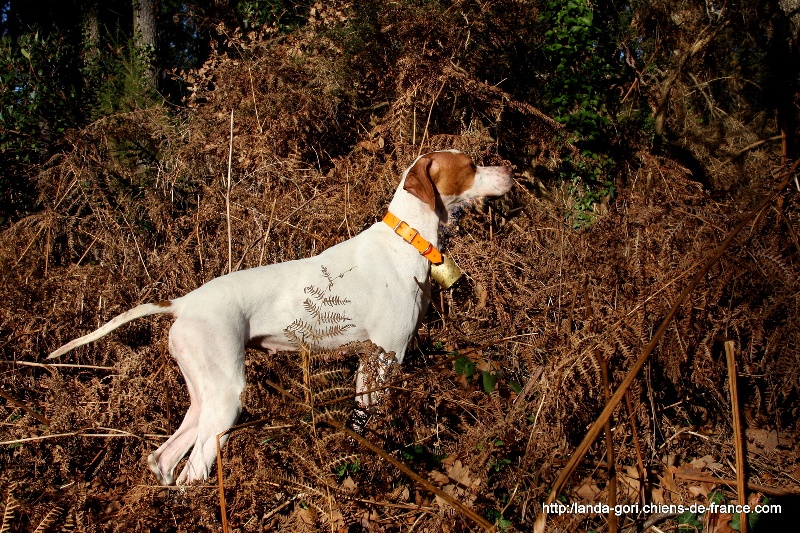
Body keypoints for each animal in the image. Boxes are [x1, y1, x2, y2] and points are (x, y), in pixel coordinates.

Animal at [48, 148, 512, 484]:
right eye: (471, 165)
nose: (509, 170)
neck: (408, 239)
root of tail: (183, 302)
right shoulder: (389, 356)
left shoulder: (368, 361)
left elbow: (362, 420)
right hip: (225, 398)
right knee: (192, 473)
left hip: (202, 399)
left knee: (163, 460)